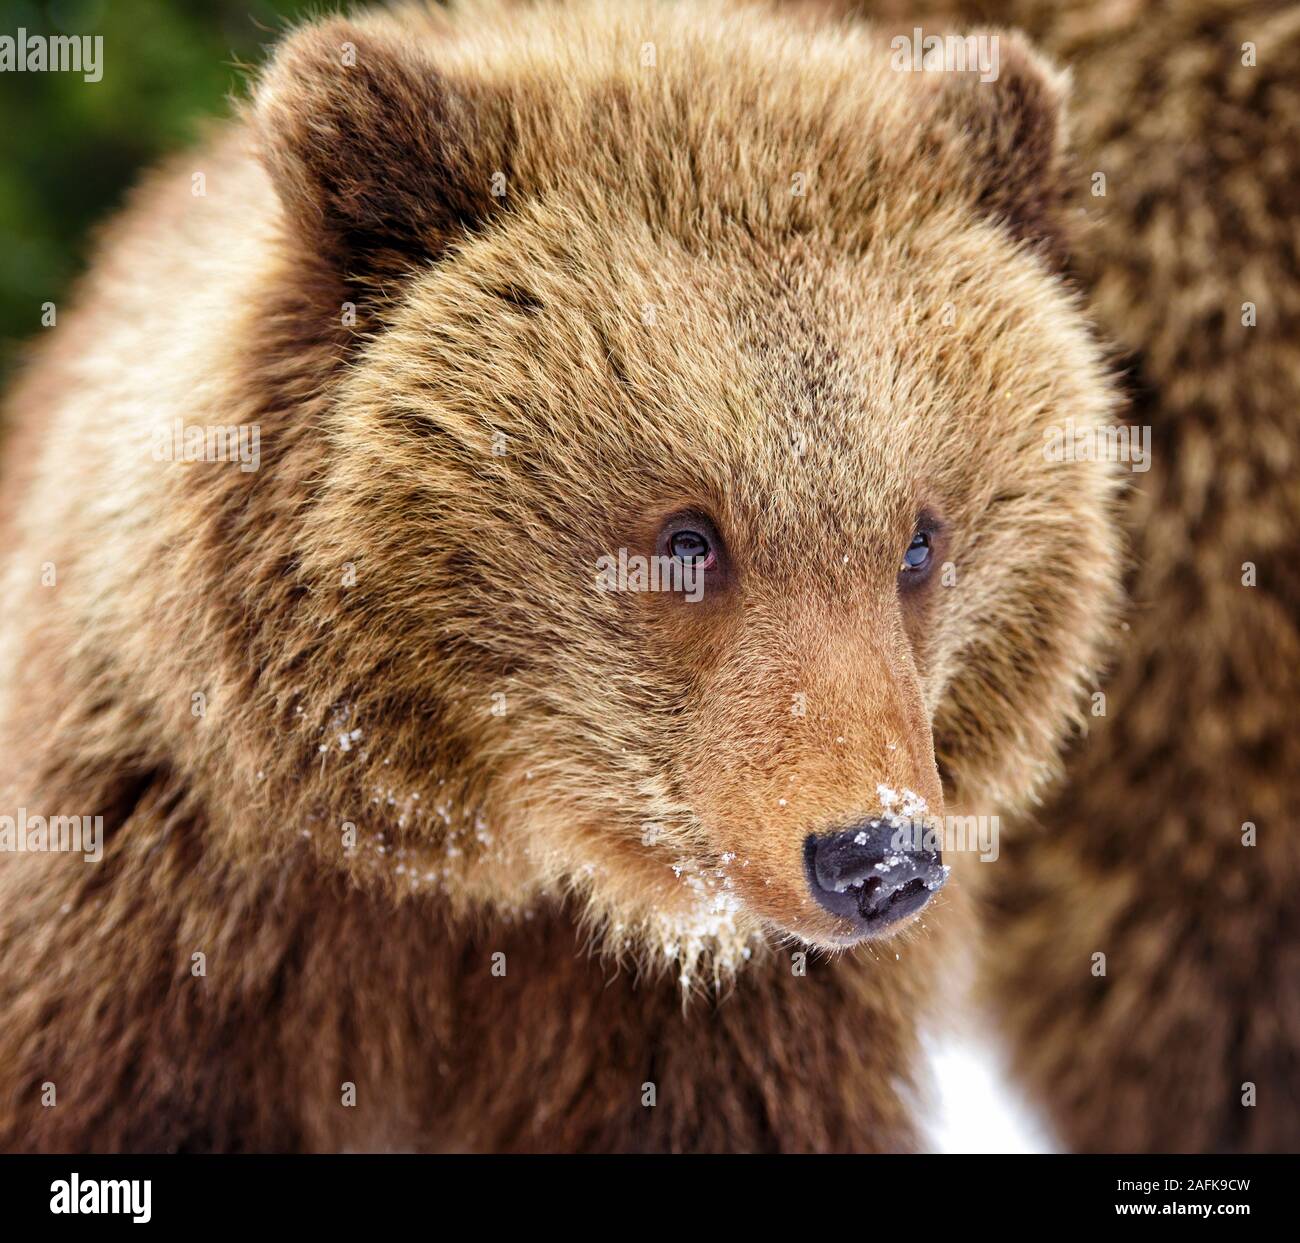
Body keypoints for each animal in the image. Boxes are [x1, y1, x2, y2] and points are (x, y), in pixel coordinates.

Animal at [0, 0, 1123, 1151]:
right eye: (689, 536)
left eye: (918, 540)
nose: (876, 854)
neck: (506, 865)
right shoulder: (181, 922)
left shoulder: (734, 1032)